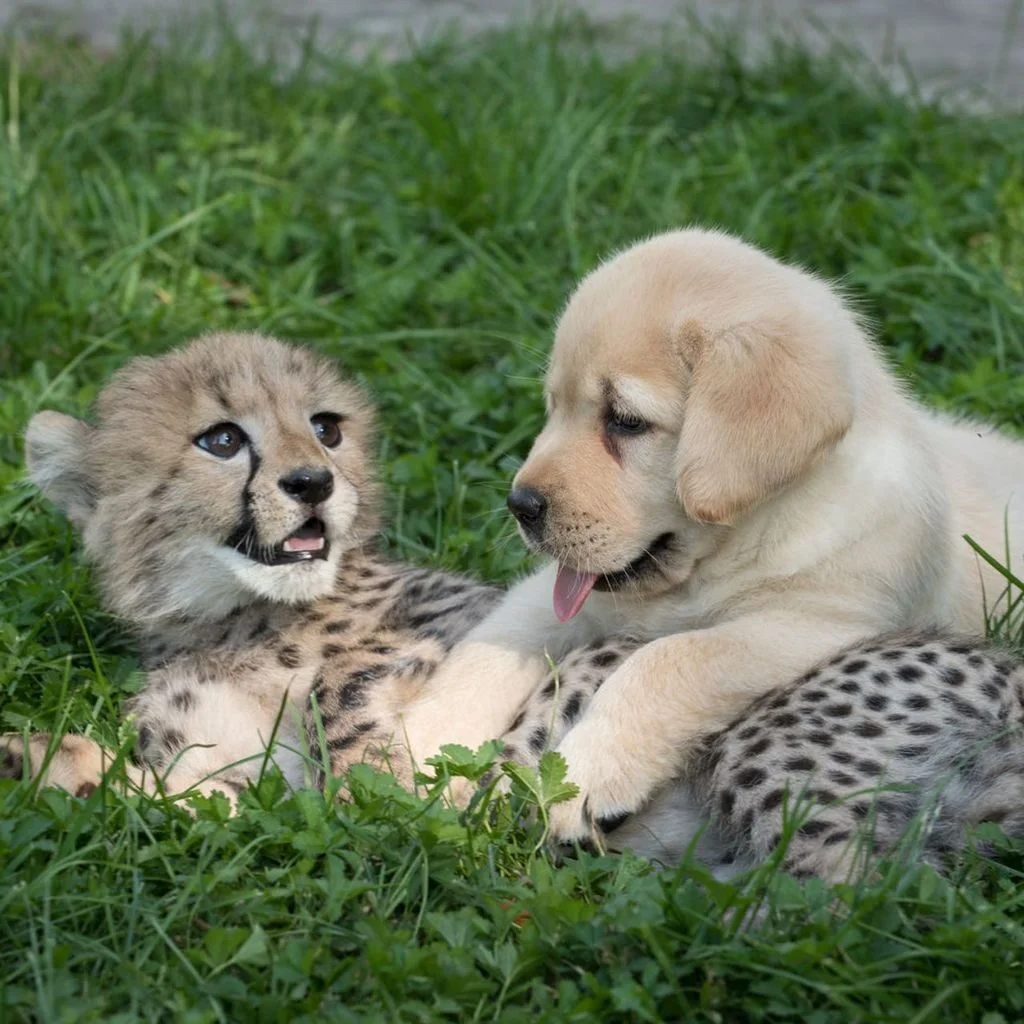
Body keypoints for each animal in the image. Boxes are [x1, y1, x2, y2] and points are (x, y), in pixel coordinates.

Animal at [395, 228, 1024, 843]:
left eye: (625, 420)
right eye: (553, 406)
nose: (519, 505)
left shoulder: (817, 625)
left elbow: (671, 658)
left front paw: (590, 771)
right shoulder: (572, 593)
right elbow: (491, 644)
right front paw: (414, 746)